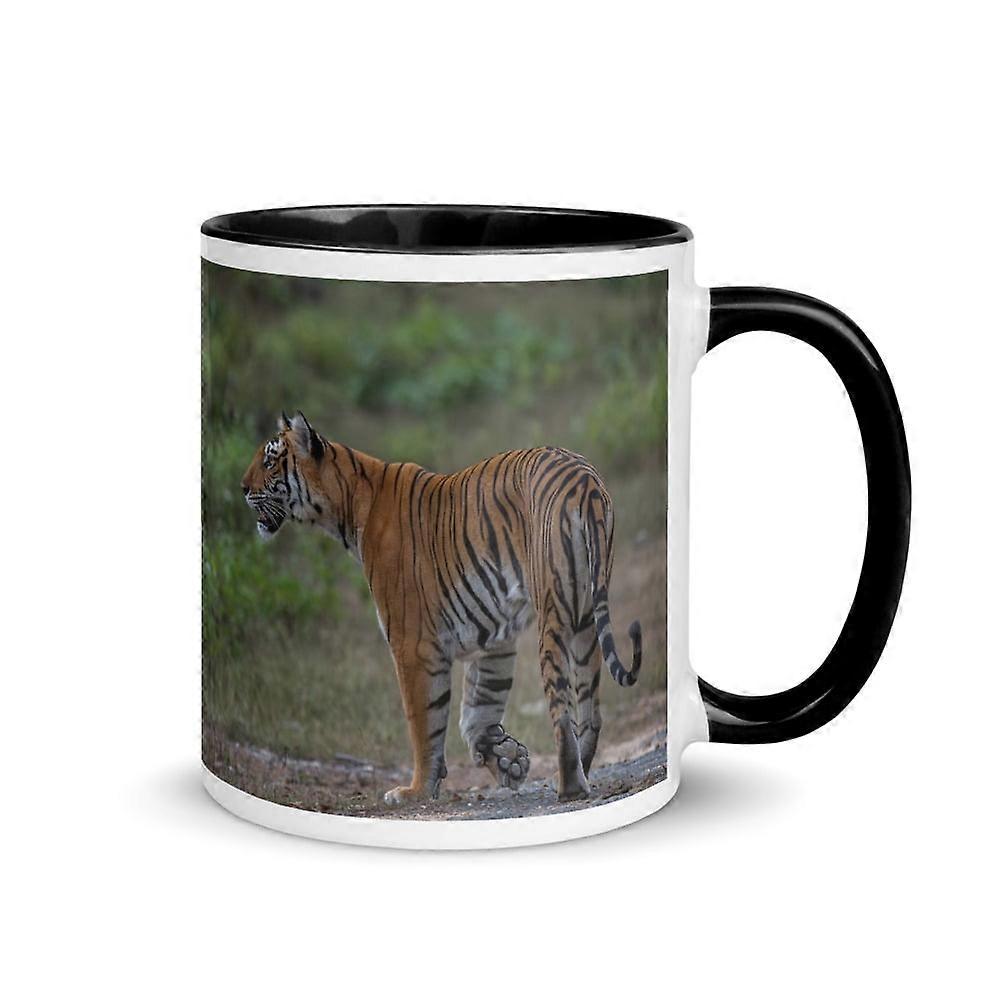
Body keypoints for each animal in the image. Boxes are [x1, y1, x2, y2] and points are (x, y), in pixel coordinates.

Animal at [240, 411, 641, 805]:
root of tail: (584, 481)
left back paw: (570, 786)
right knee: (590, 710)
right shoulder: (494, 635)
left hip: (554, 611)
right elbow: (479, 706)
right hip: (585, 615)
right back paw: (583, 770)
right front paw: (508, 760)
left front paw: (416, 790)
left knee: (560, 708)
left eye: (270, 460)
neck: (349, 502)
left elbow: (424, 722)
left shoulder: (412, 644)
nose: (242, 488)